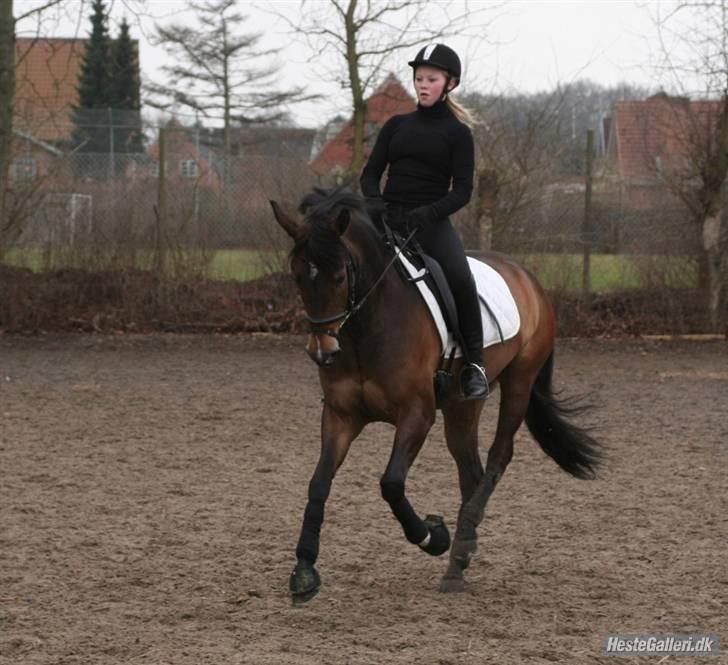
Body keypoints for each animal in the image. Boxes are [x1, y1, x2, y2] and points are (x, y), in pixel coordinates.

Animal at [270, 188, 602, 602]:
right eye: (298, 276)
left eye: (339, 276)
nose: (323, 352)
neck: (367, 326)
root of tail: (527, 277)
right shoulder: (341, 415)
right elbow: (318, 483)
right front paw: (304, 571)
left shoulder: (417, 413)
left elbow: (391, 484)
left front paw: (433, 536)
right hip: (462, 405)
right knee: (470, 471)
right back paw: (461, 557)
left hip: (520, 382)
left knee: (498, 457)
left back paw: (458, 546)